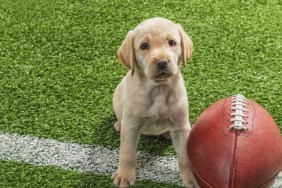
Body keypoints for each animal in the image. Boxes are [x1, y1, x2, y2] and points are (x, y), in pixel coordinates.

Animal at [112, 16, 196, 187]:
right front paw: (124, 175)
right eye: (144, 46)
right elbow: (127, 152)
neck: (159, 90)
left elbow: (185, 155)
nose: (162, 62)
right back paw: (118, 124)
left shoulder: (181, 126)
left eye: (172, 42)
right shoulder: (131, 126)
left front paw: (191, 178)